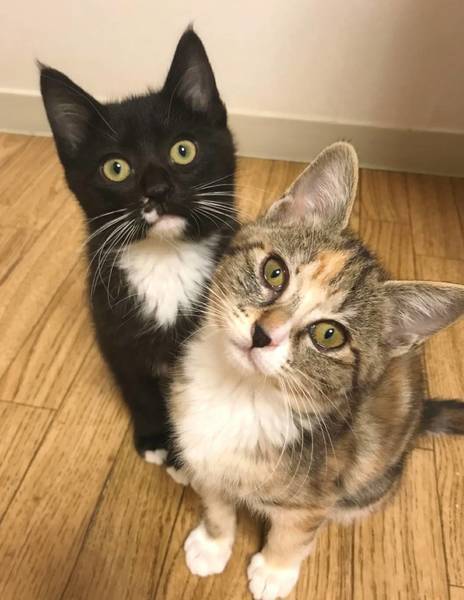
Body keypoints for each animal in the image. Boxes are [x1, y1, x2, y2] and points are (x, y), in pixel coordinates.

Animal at [40, 27, 237, 464]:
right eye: (116, 168)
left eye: (183, 150)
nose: (158, 190)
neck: (165, 259)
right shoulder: (112, 328)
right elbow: (137, 387)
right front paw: (155, 438)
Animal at [169, 142, 464, 600]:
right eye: (274, 271)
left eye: (329, 335)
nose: (263, 334)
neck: (240, 392)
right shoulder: (208, 454)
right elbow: (217, 502)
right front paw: (213, 542)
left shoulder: (317, 494)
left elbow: (295, 533)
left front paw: (274, 571)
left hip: (369, 488)